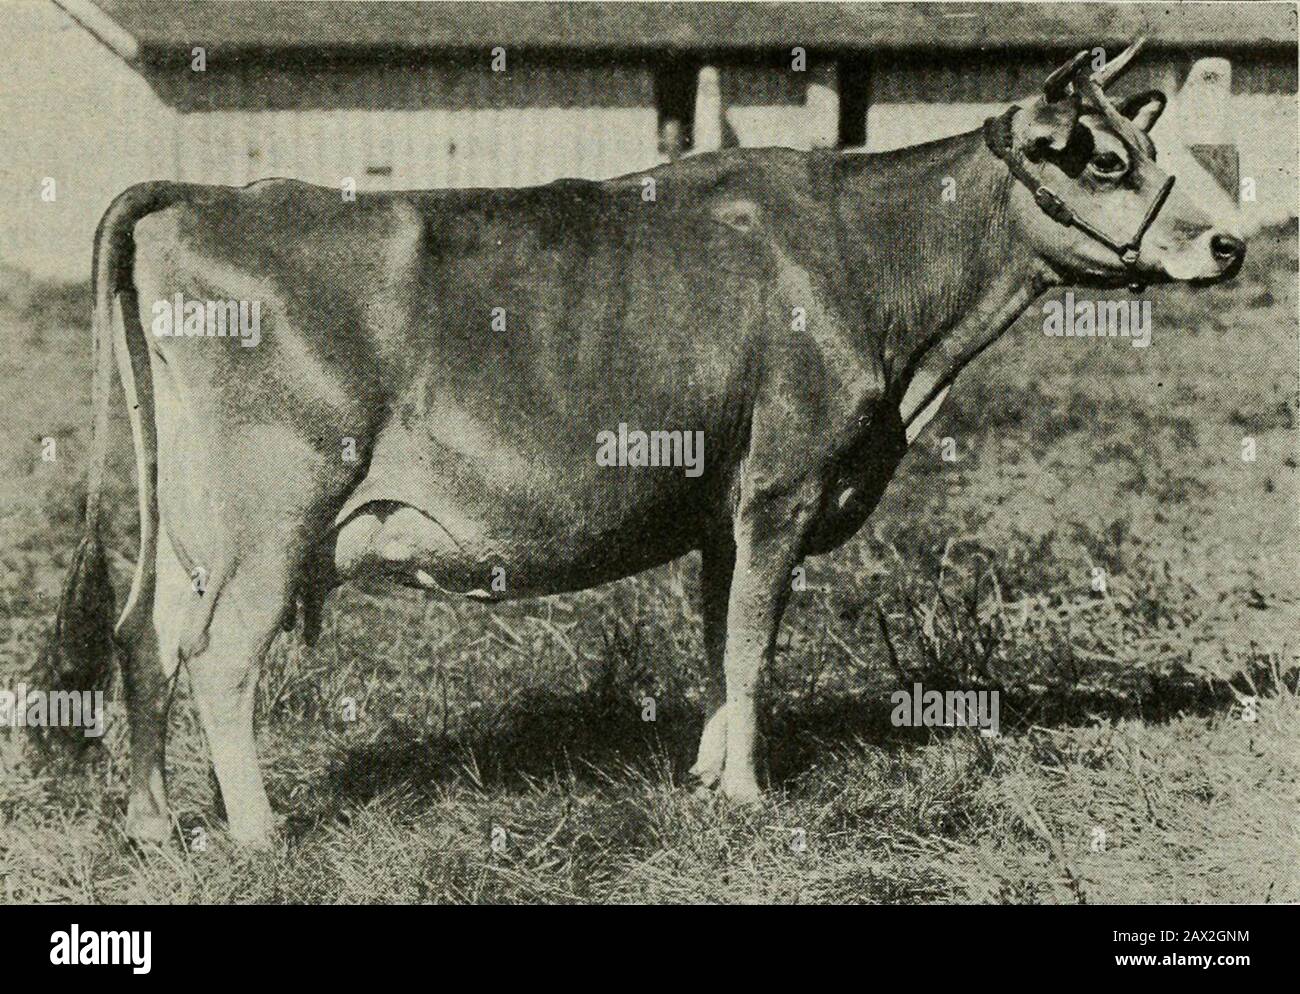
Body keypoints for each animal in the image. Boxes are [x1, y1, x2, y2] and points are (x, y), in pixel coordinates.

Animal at [50, 40, 1245, 847]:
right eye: (1100, 159)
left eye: (1144, 144)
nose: (1228, 244)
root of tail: (205, 197)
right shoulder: (783, 485)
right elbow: (754, 646)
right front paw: (751, 796)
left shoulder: (721, 503)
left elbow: (720, 642)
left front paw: (709, 778)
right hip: (273, 509)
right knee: (217, 656)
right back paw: (257, 831)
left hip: (188, 518)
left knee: (143, 637)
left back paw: (154, 827)